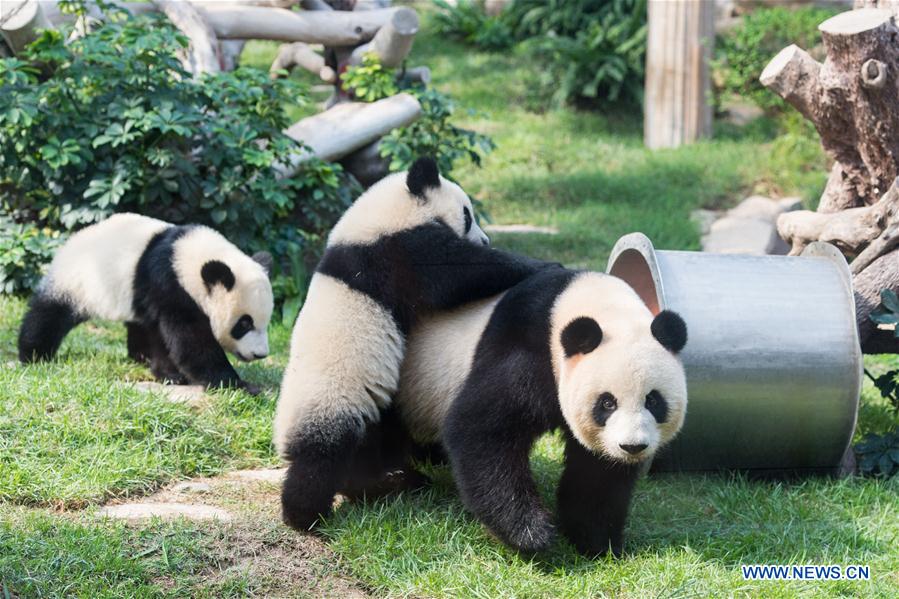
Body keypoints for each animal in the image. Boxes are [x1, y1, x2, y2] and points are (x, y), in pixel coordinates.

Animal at [270, 158, 548, 528]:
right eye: (467, 214)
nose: (486, 239)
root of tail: (281, 438)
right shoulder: (395, 250)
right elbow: (457, 271)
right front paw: (539, 265)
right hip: (332, 399)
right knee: (321, 457)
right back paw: (307, 514)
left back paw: (400, 479)